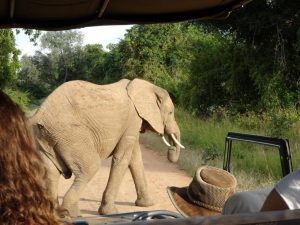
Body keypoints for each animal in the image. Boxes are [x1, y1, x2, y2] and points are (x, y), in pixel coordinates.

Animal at [28, 78, 183, 217]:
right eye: (170, 113)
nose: (171, 151)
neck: (147, 86)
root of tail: (39, 113)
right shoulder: (133, 118)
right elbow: (122, 158)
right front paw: (110, 212)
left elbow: (135, 159)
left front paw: (147, 205)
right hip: (70, 135)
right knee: (90, 167)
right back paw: (72, 215)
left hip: (46, 137)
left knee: (50, 173)